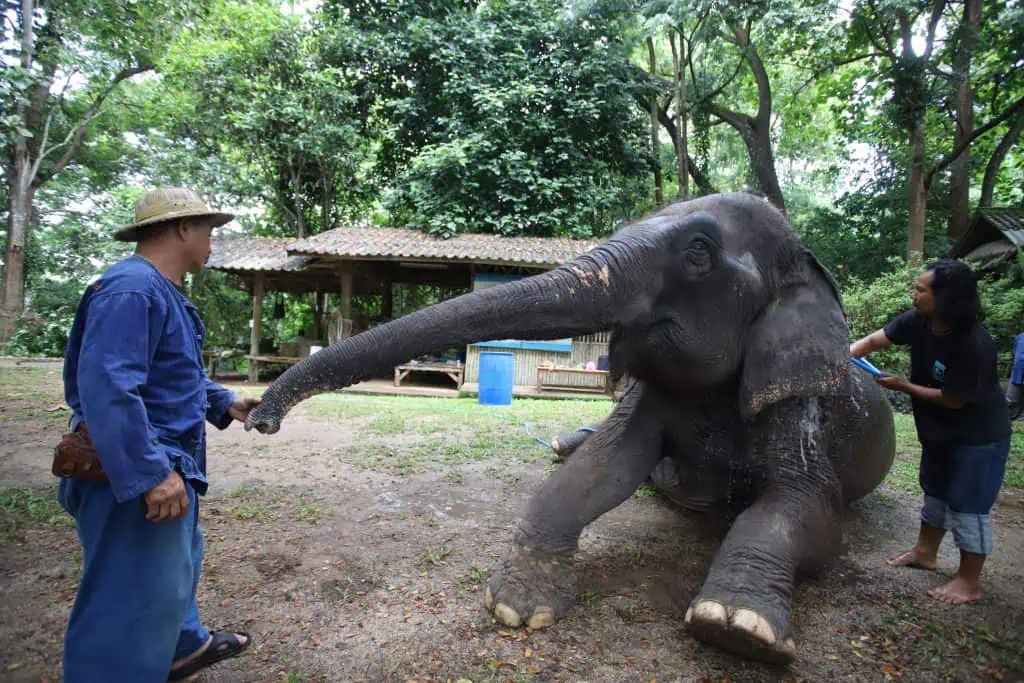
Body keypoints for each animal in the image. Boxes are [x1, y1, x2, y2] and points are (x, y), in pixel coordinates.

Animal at [245, 192, 897, 667]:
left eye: (698, 253)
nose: (259, 420)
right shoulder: (652, 397)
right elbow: (603, 466)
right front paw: (517, 607)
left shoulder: (801, 403)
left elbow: (806, 507)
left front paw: (737, 630)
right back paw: (562, 443)